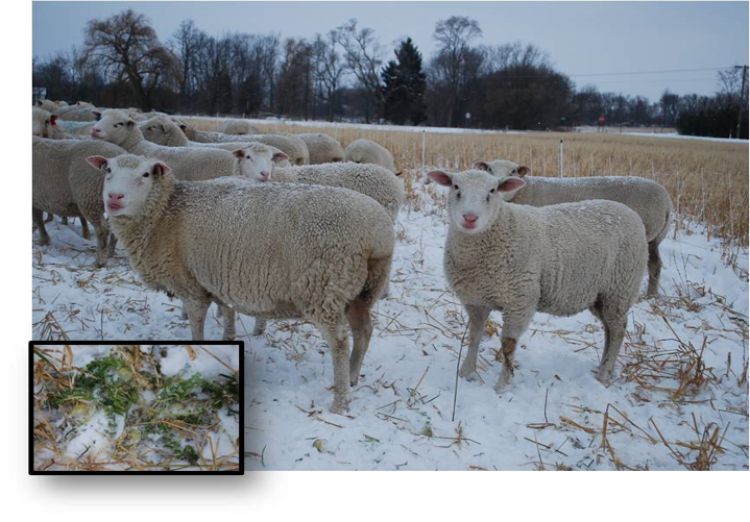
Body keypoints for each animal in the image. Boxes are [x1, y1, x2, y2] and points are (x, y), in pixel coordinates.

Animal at [32, 136, 125, 264]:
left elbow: (38, 220)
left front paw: (43, 240)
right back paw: (110, 254)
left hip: (89, 197)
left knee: (102, 229)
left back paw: (99, 261)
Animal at [97, 152, 396, 412]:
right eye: (108, 170)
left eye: (145, 174)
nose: (114, 197)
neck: (165, 213)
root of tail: (377, 233)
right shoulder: (219, 277)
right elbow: (228, 311)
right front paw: (227, 339)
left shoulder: (191, 285)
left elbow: (196, 325)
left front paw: (201, 349)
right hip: (362, 289)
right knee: (364, 330)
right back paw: (354, 377)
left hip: (324, 287)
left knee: (340, 342)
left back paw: (340, 401)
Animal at [428, 169, 652, 392]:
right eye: (456, 187)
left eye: (492, 191)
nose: (470, 218)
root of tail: (630, 213)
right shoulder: (475, 300)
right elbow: (474, 336)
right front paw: (466, 373)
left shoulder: (520, 300)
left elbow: (508, 344)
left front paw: (502, 386)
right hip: (600, 295)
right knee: (609, 329)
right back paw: (604, 366)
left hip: (620, 288)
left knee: (618, 330)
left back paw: (604, 374)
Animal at [476, 157, 676, 296]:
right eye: (489, 169)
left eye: (513, 171)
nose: (499, 184)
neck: (524, 190)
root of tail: (667, 200)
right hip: (654, 239)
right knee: (655, 265)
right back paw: (651, 295)